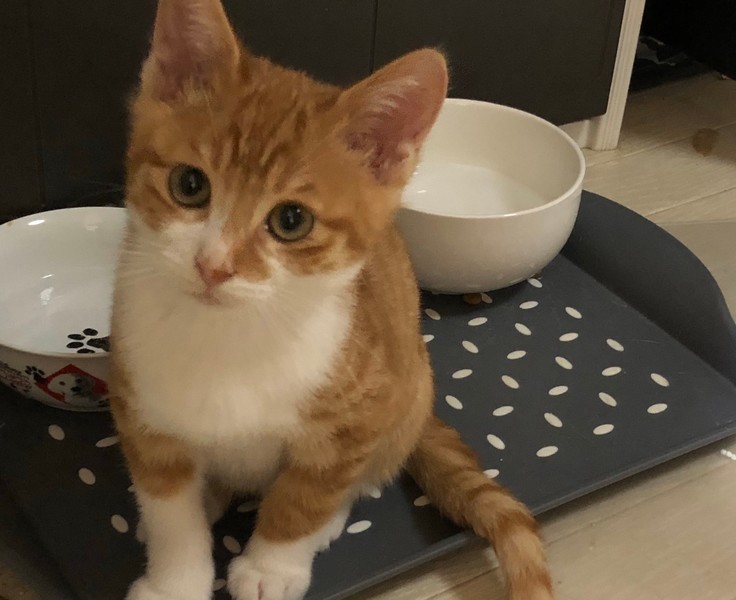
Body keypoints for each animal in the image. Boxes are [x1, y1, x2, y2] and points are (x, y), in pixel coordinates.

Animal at [110, 1, 554, 599]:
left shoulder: (359, 416)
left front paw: (271, 567)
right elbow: (168, 511)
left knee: (360, 479)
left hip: (408, 390)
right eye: (189, 185)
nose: (214, 266)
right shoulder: (142, 412)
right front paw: (174, 581)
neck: (231, 335)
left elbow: (306, 497)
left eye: (291, 220)